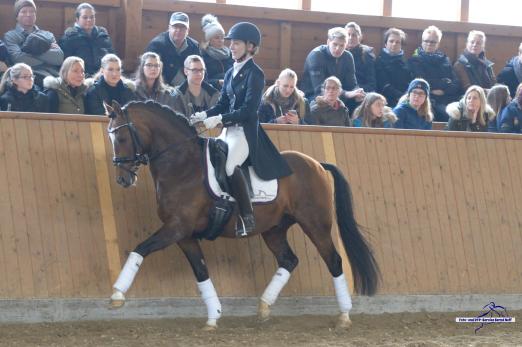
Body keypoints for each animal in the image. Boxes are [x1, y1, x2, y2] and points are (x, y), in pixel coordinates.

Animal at [105, 101, 378, 332]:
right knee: (289, 260)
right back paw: (264, 307)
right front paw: (213, 317)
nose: (123, 179)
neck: (183, 166)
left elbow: (140, 249)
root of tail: (317, 164)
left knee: (334, 260)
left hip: (315, 224)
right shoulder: (184, 235)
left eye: (121, 137)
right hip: (274, 229)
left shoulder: (177, 227)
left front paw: (117, 294)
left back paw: (344, 316)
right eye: (111, 137)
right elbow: (201, 272)